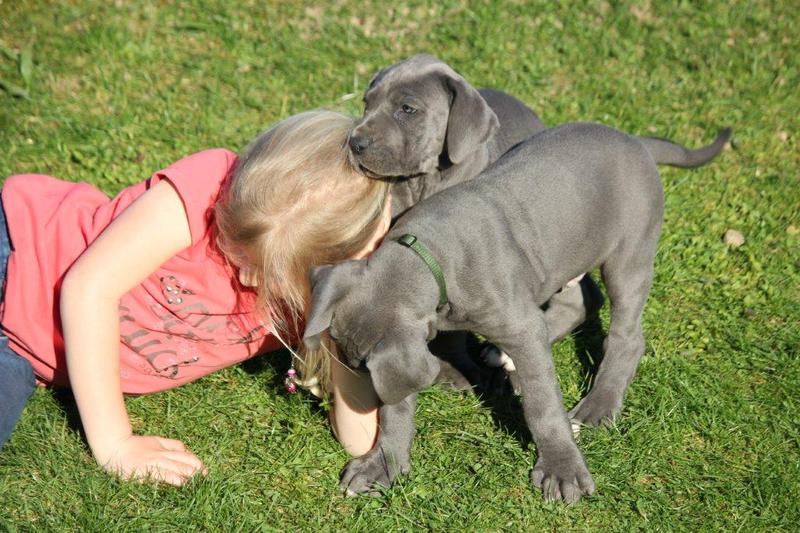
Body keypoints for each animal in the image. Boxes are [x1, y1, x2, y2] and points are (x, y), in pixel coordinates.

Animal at [305, 122, 730, 502]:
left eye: (362, 365)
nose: (353, 397)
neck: (426, 254)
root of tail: (634, 140)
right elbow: (400, 404)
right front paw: (383, 463)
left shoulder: (520, 328)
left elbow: (543, 405)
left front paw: (562, 469)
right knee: (577, 303)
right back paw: (504, 355)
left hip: (630, 253)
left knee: (628, 335)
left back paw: (598, 405)